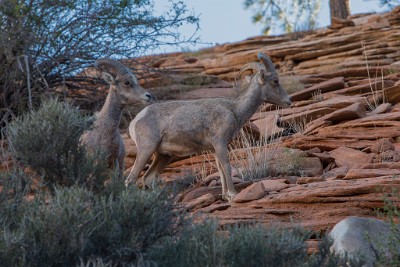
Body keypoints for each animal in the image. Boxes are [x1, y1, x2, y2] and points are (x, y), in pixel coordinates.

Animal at [125, 52, 290, 201]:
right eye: (275, 81)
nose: (289, 100)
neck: (234, 109)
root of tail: (135, 121)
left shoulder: (214, 149)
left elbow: (220, 170)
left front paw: (225, 195)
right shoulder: (220, 143)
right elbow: (227, 166)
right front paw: (233, 194)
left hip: (163, 155)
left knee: (148, 178)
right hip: (146, 149)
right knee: (130, 179)